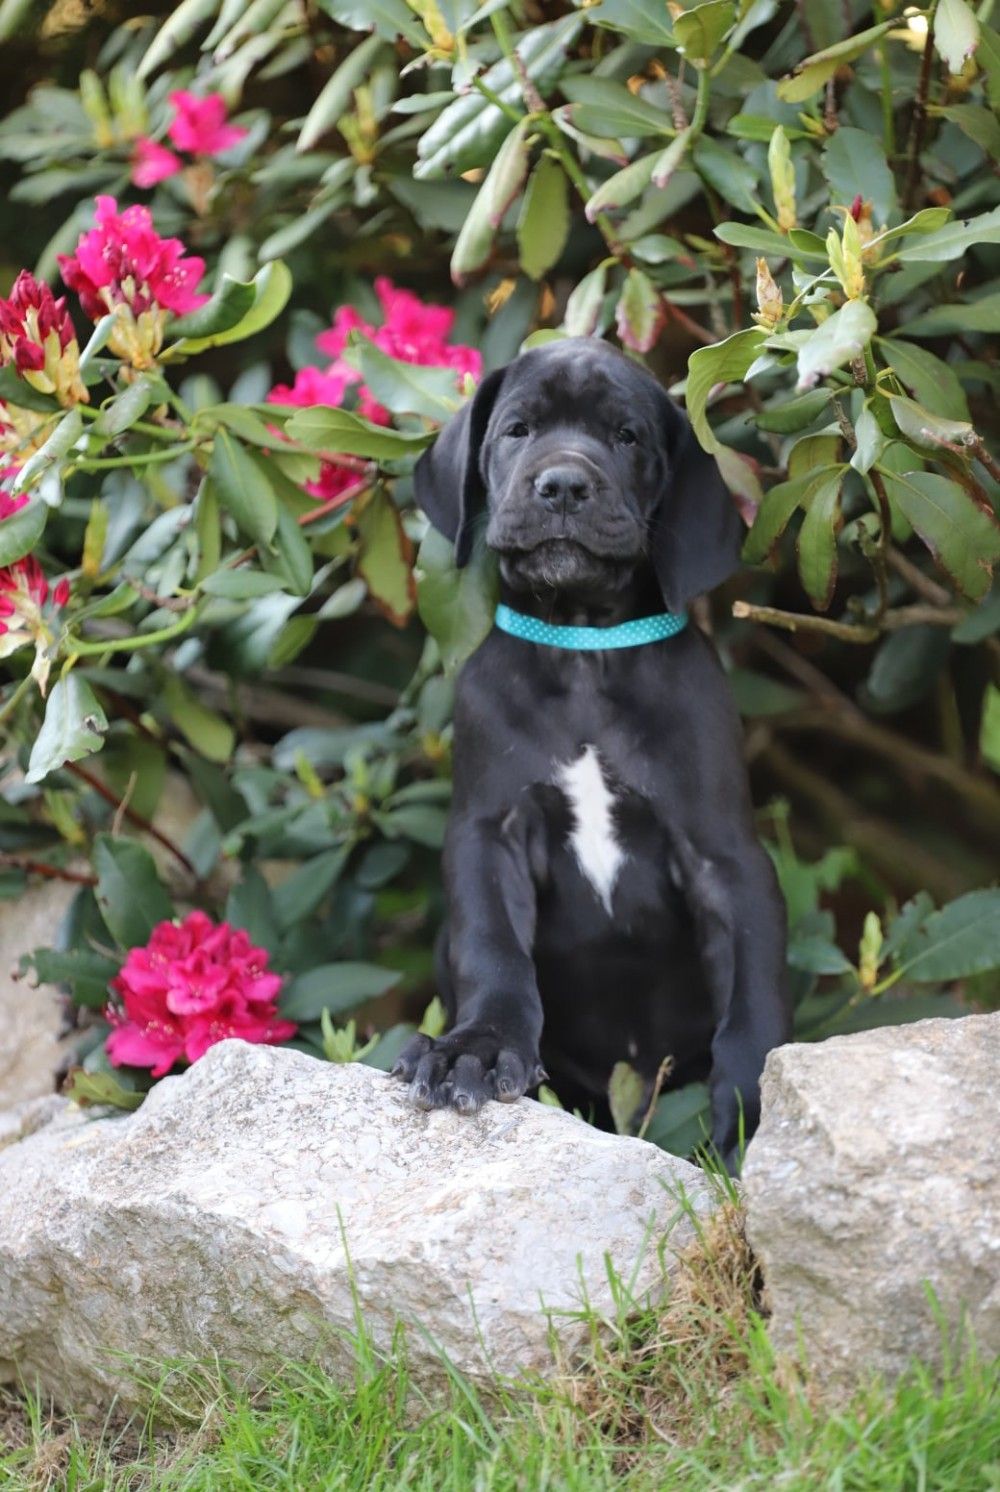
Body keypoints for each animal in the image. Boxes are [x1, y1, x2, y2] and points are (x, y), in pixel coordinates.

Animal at [392, 337, 790, 1169]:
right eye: (517, 430)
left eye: (627, 437)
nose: (564, 484)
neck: (583, 650)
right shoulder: (489, 834)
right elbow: (494, 950)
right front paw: (475, 1049)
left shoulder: (726, 857)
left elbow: (753, 1003)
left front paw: (751, 1120)